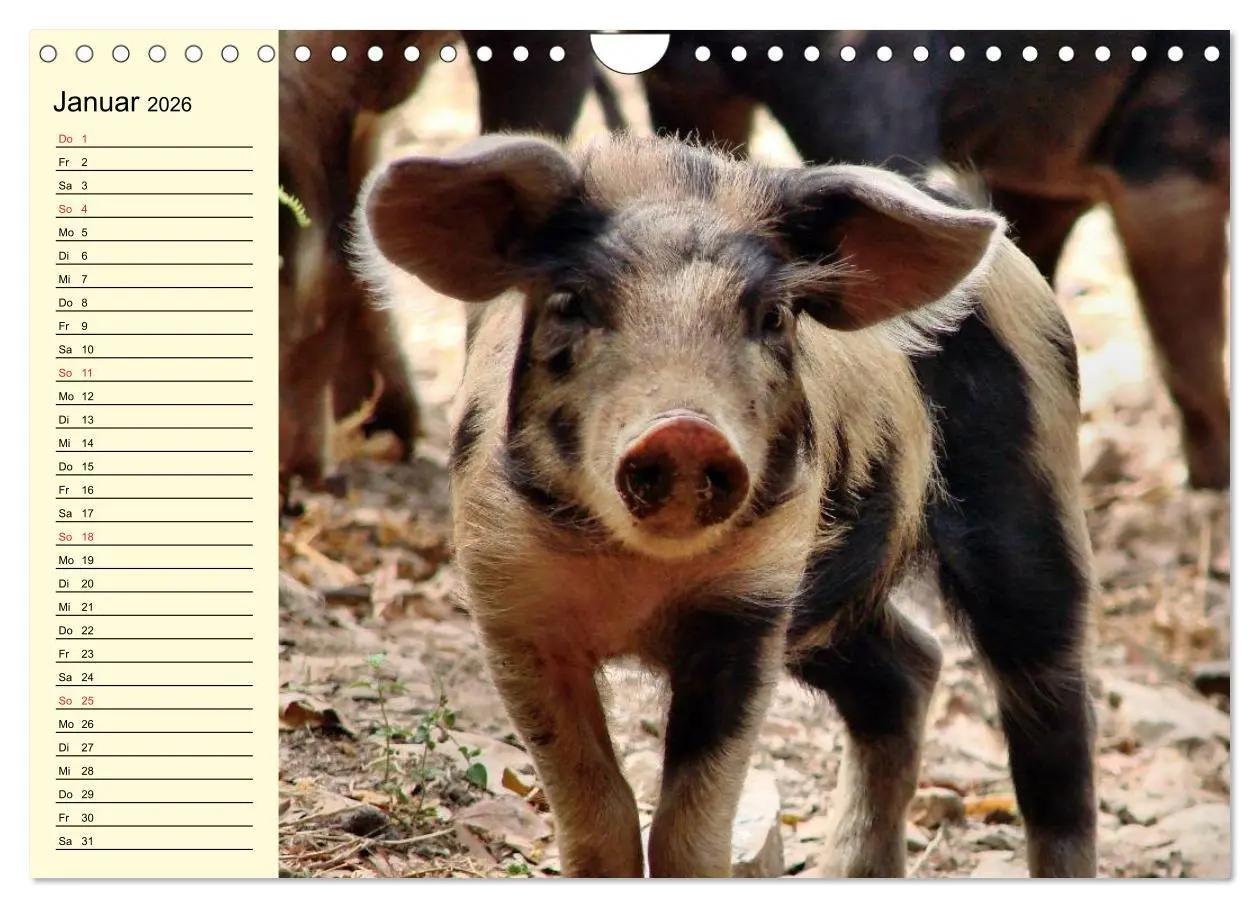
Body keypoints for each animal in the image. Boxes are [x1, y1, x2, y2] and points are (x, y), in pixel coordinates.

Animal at [356, 132, 1097, 878]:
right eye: (571, 304)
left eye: (772, 317)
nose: (685, 429)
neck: (637, 583)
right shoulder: (510, 605)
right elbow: (597, 815)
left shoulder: (751, 605)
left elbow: (689, 829)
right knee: (908, 672)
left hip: (1033, 498)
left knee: (1053, 726)